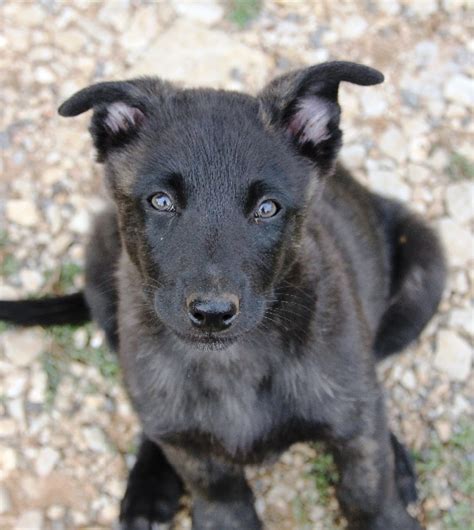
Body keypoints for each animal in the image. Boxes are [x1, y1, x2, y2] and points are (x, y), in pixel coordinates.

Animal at [0, 63, 444, 528]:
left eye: (267, 208)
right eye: (161, 201)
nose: (212, 313)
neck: (231, 363)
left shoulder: (357, 433)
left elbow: (367, 488)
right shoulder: (199, 462)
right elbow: (216, 490)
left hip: (424, 272)